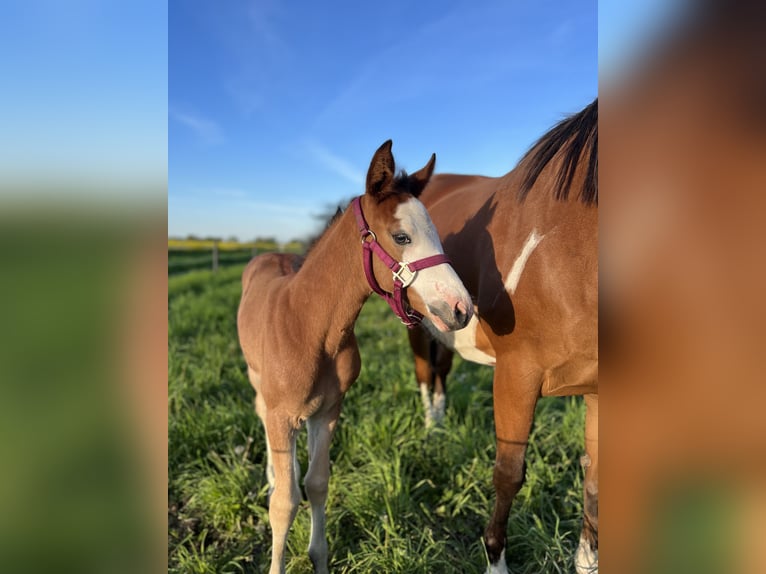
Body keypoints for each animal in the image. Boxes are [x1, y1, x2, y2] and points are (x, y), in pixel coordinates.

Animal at [236, 140, 474, 574]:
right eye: (401, 236)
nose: (461, 308)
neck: (310, 327)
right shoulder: (282, 414)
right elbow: (284, 504)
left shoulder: (329, 409)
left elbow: (316, 484)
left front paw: (319, 557)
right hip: (255, 377)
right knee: (260, 412)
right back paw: (274, 473)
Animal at [407, 99, 598, 573]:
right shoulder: (516, 375)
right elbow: (508, 474)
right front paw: (495, 558)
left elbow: (595, 477)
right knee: (424, 372)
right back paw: (431, 428)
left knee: (442, 369)